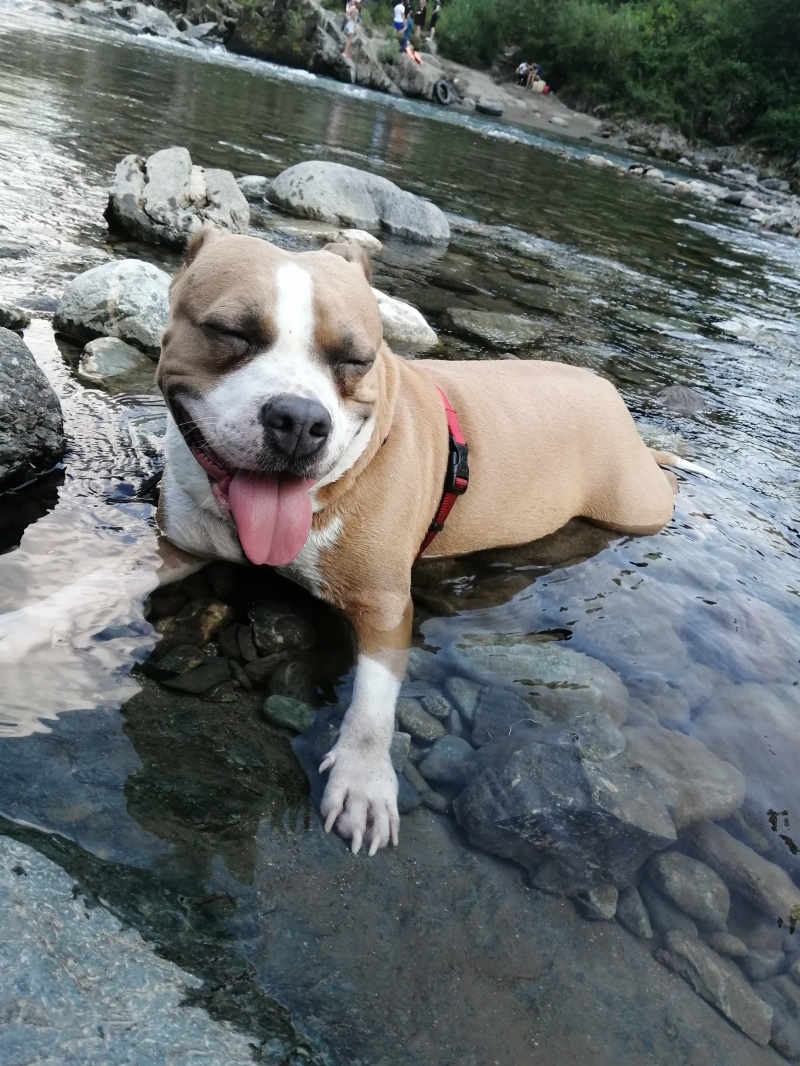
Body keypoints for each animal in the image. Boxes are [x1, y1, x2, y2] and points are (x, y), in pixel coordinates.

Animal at [0, 226, 692, 855]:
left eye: (355, 359)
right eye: (231, 333)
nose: (299, 420)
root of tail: (608, 392)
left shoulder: (385, 606)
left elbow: (374, 702)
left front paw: (363, 781)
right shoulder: (179, 548)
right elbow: (92, 586)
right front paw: (23, 626)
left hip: (633, 504)